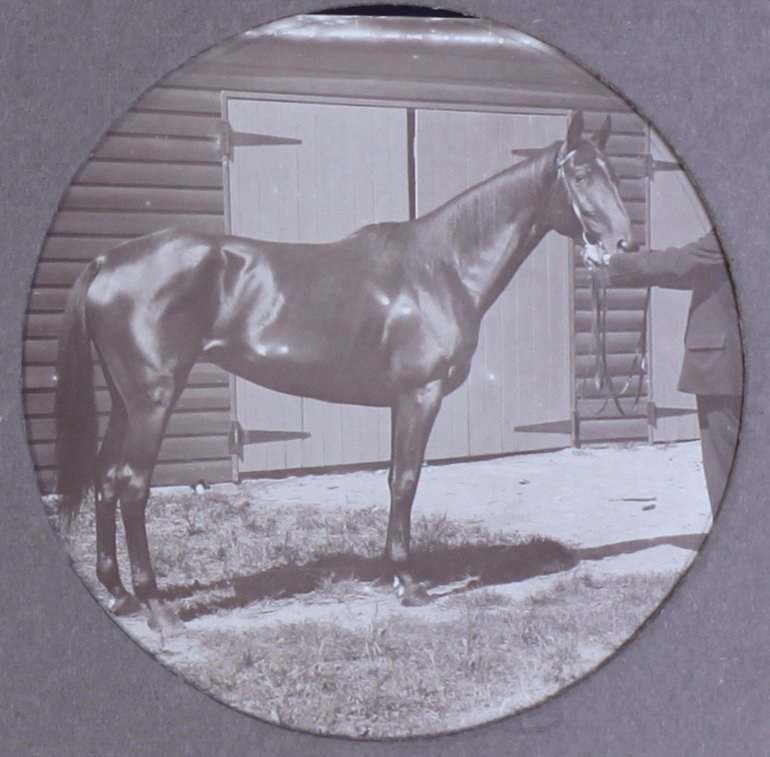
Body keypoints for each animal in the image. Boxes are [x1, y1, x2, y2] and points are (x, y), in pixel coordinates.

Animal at [53, 110, 637, 630]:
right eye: (580, 174)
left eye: (614, 171)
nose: (624, 245)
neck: (440, 267)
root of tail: (109, 261)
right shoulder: (420, 395)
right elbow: (407, 480)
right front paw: (409, 583)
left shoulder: (401, 400)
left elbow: (394, 479)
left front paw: (392, 573)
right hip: (153, 400)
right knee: (132, 486)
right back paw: (158, 608)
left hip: (125, 401)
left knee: (105, 480)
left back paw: (120, 595)